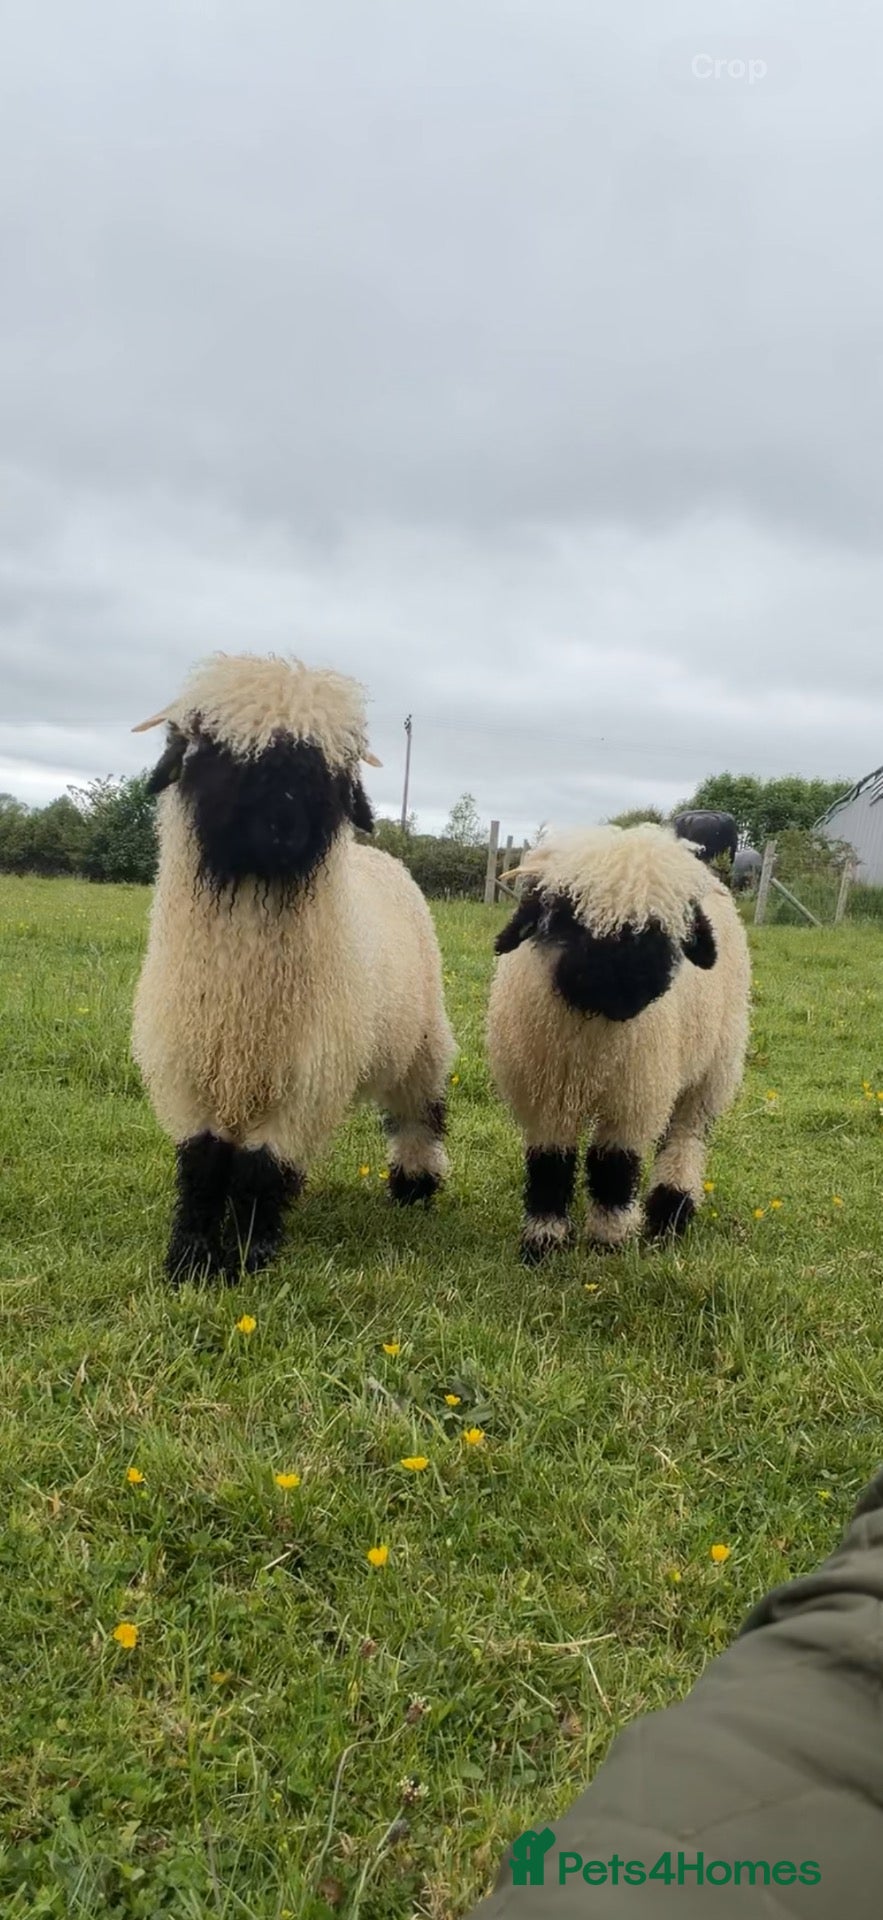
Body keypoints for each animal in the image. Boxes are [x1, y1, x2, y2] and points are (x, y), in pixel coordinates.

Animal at [130, 652, 456, 1282]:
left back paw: (415, 1184)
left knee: (418, 1112)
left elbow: (261, 1171)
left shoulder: (304, 1078)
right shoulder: (189, 1072)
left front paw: (249, 1255)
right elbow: (203, 1166)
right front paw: (191, 1258)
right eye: (218, 750)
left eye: (330, 771)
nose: (284, 829)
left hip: (422, 1036)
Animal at [487, 822, 750, 1263]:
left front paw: (609, 1238)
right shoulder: (547, 1097)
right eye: (570, 915)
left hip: (712, 1069)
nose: (626, 988)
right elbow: (549, 1163)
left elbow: (613, 1164)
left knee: (685, 1138)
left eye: (662, 927)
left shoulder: (634, 1095)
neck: (594, 1030)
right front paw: (544, 1240)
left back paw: (670, 1211)